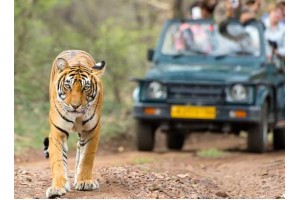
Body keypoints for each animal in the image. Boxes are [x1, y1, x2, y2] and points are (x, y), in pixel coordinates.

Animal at [44, 50, 105, 198]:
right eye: (68, 86)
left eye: (86, 88)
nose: (75, 106)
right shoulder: (57, 131)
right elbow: (58, 160)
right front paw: (57, 187)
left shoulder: (92, 129)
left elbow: (87, 156)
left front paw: (84, 181)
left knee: (79, 148)